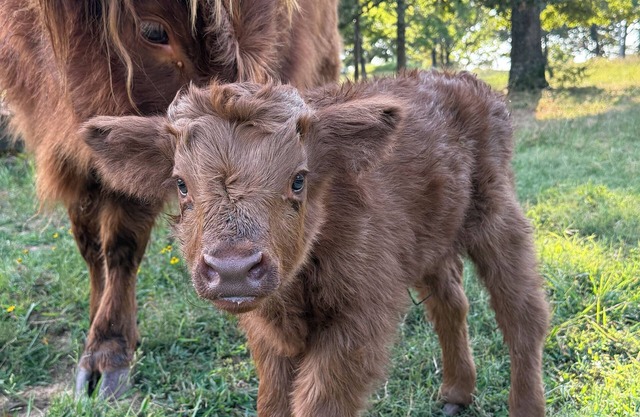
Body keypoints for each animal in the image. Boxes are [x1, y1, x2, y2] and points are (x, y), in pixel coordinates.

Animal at [0, 0, 341, 397]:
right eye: (153, 31)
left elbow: (121, 246)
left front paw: (108, 351)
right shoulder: (75, 157)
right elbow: (91, 249)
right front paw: (98, 324)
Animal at [80, 71, 550, 416]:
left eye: (298, 179)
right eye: (180, 184)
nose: (233, 269)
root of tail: (465, 82)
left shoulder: (359, 321)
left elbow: (319, 399)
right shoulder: (269, 336)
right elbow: (274, 399)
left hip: (496, 216)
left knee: (522, 314)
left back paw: (525, 403)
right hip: (432, 241)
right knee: (450, 303)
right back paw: (456, 393)